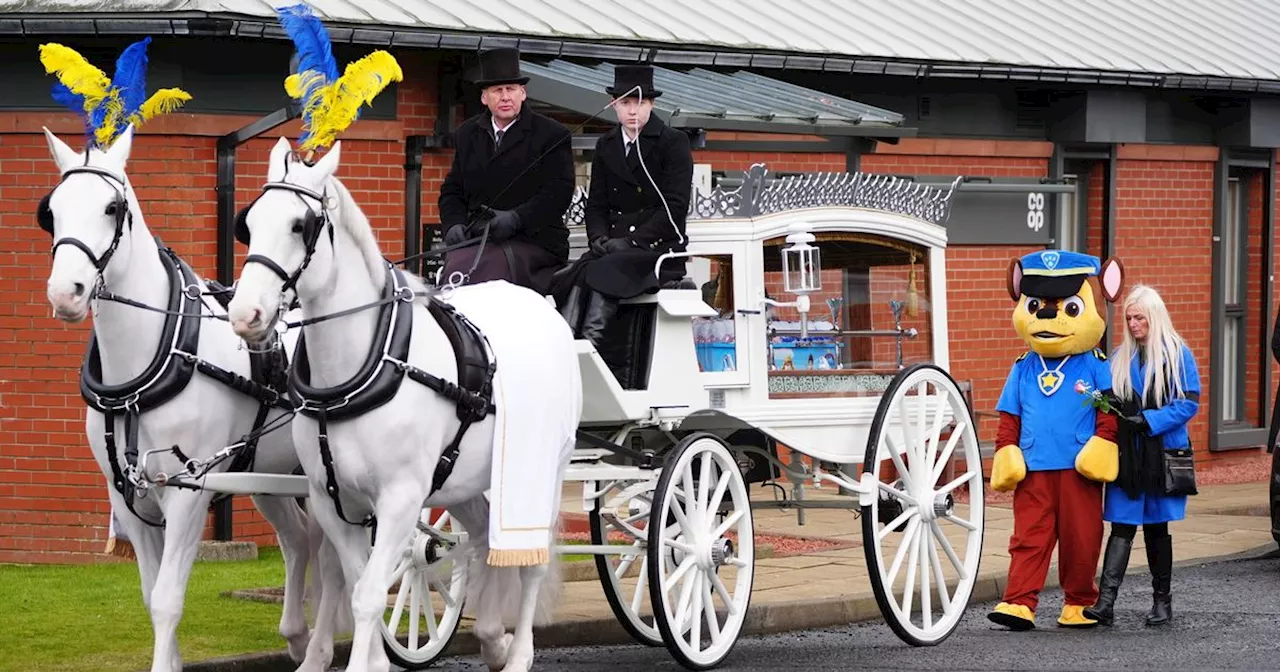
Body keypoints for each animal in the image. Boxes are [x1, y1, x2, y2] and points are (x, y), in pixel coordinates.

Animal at [41, 124, 348, 665]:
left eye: (111, 208)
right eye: (51, 211)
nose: (66, 292)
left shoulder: (188, 490)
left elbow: (167, 599)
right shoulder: (127, 495)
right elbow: (150, 596)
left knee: (332, 558)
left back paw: (320, 651)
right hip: (268, 473)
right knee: (298, 540)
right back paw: (296, 634)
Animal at [227, 137, 583, 670]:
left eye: (299, 225)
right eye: (248, 223)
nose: (244, 314)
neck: (364, 368)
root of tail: (541, 305)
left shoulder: (399, 498)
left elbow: (371, 593)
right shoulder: (332, 499)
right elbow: (356, 583)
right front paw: (375, 660)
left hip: (544, 472)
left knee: (531, 563)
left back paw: (519, 652)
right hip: (466, 480)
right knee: (483, 539)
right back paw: (493, 637)